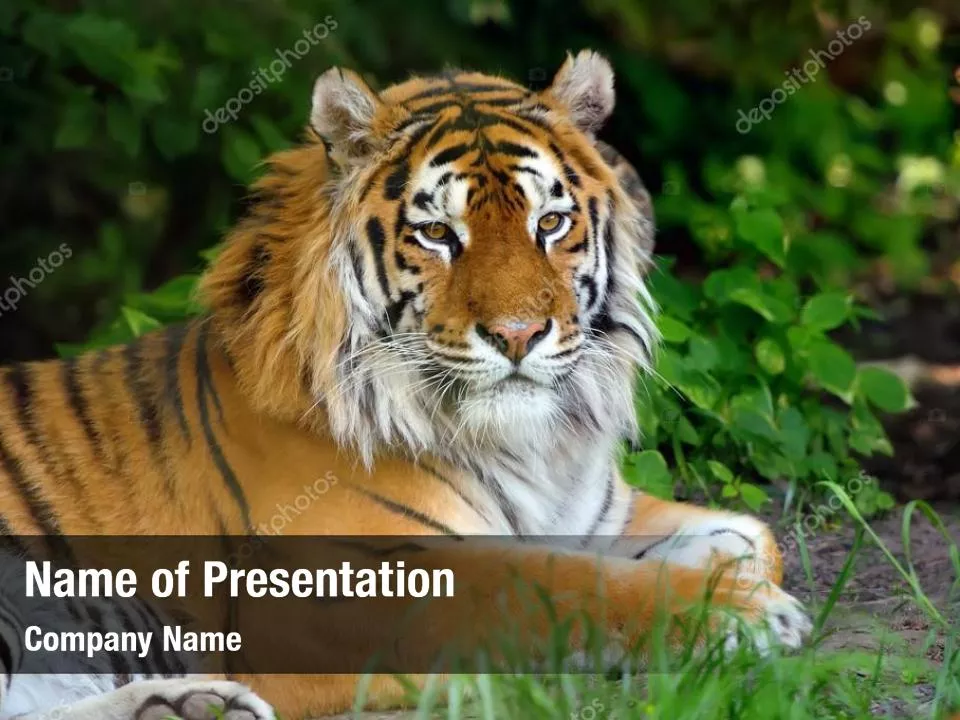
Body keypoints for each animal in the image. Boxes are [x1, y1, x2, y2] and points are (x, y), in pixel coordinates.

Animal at [0, 50, 811, 718]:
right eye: (437, 235)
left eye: (550, 224)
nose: (519, 334)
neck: (531, 448)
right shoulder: (338, 592)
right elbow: (556, 584)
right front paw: (745, 614)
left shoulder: (594, 519)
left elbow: (750, 533)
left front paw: (735, 580)